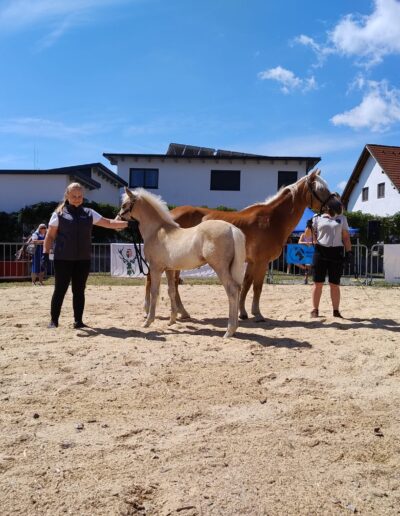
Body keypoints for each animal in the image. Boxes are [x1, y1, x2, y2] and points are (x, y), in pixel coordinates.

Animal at [117, 186, 245, 338]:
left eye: (124, 205)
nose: (117, 219)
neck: (156, 231)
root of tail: (232, 229)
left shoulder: (155, 268)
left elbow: (155, 292)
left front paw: (148, 321)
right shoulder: (169, 269)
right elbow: (171, 291)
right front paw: (171, 321)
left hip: (220, 268)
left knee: (232, 290)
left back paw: (229, 331)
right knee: (237, 288)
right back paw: (234, 328)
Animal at [148, 169, 340, 322]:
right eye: (321, 189)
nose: (338, 207)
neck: (272, 219)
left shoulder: (252, 262)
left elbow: (246, 285)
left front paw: (243, 313)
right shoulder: (262, 262)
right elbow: (257, 287)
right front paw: (258, 314)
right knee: (169, 283)